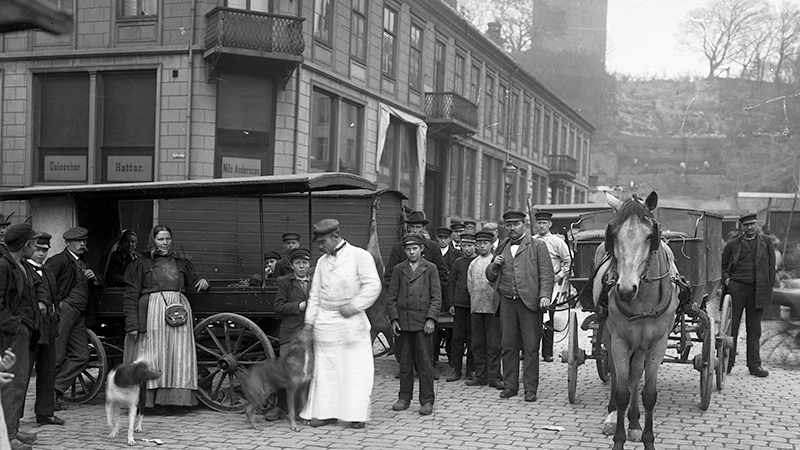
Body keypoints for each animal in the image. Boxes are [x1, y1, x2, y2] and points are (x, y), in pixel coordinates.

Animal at [592, 191, 680, 450]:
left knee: (634, 375)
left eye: (650, 235)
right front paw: (618, 438)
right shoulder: (620, 341)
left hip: (641, 345)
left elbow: (648, 393)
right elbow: (621, 391)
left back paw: (634, 421)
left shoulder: (658, 344)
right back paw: (613, 416)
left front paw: (645, 437)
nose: (625, 289)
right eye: (613, 234)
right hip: (609, 334)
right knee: (616, 371)